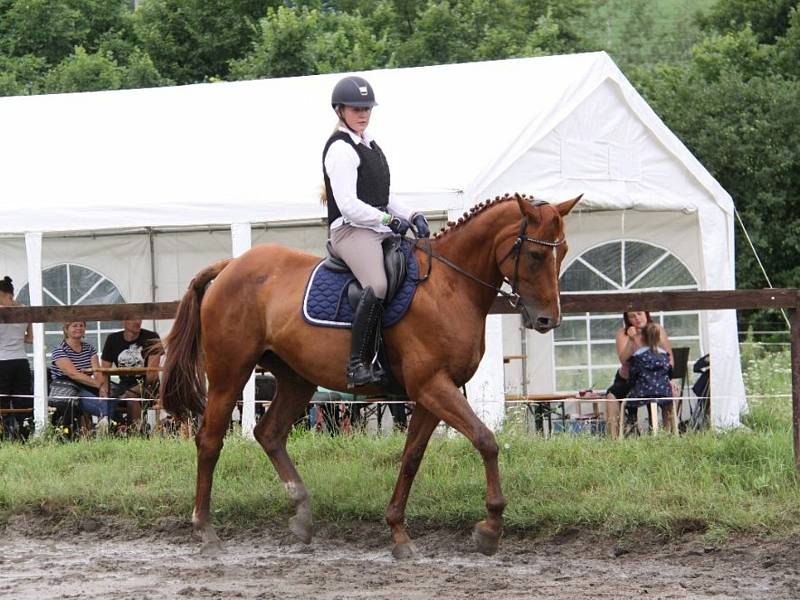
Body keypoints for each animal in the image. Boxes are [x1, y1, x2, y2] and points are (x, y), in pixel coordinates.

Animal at [162, 192, 580, 556]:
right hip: (230, 373)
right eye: (535, 254)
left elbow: (411, 457)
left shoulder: (430, 393)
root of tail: (230, 266)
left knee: (269, 432)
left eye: (563, 252)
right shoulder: (433, 386)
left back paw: (302, 516)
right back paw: (206, 531)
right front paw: (490, 528)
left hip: (297, 378)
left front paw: (398, 532)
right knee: (210, 441)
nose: (548, 320)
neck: (449, 287)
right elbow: (485, 440)